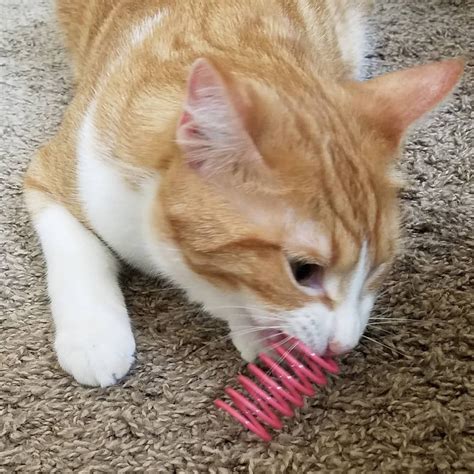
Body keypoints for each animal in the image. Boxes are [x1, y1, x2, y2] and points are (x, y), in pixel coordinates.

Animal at [23, 0, 462, 386]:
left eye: (377, 267)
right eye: (304, 271)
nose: (344, 345)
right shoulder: (56, 173)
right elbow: (75, 249)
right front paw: (94, 336)